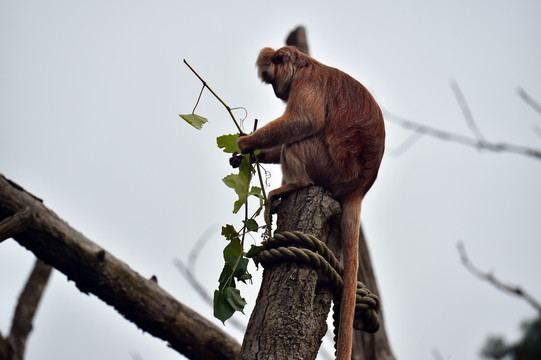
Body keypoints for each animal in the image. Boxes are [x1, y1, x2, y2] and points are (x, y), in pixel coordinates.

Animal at [236, 47, 384, 360]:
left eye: (272, 80)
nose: (276, 91)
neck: (307, 64)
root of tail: (359, 189)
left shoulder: (306, 83)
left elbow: (305, 121)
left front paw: (246, 143)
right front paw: (248, 155)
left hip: (328, 163)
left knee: (297, 141)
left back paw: (295, 185)